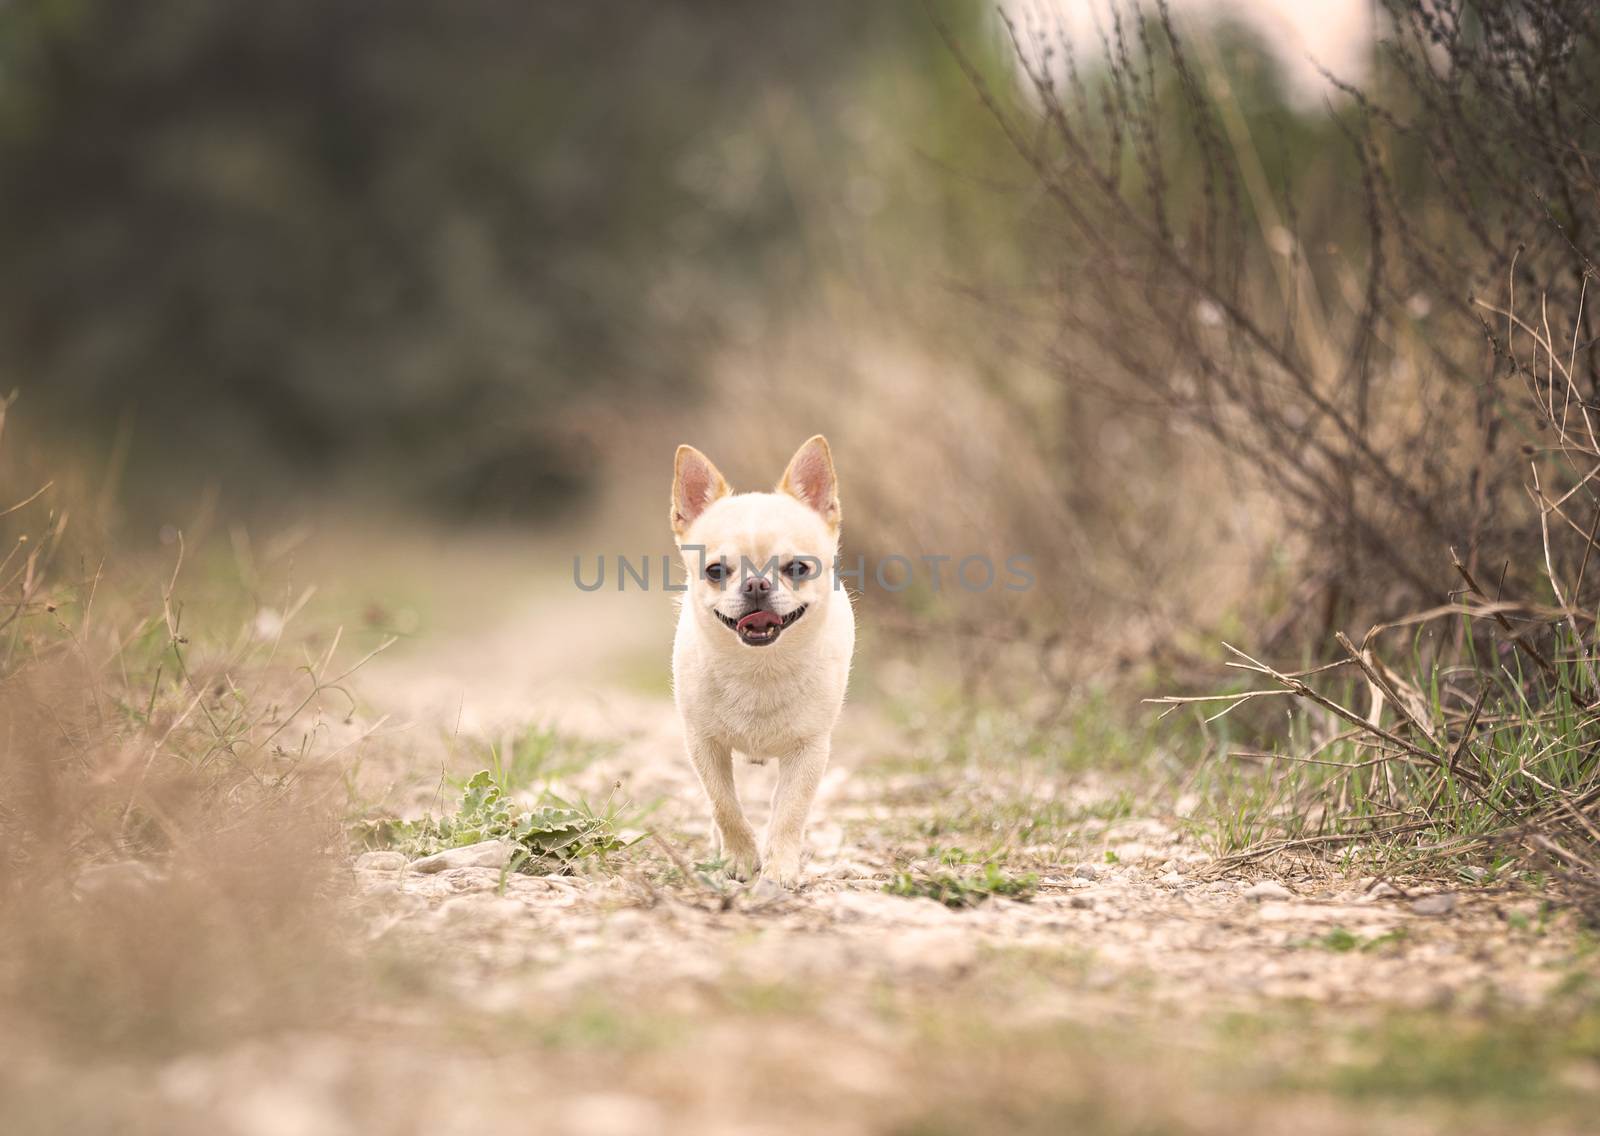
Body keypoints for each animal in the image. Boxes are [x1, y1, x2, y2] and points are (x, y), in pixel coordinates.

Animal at [668, 432, 857, 883]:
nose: (756, 584)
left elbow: (789, 812)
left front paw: (781, 867)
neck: (759, 668)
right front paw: (738, 858)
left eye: (798, 568)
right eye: (716, 571)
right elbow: (725, 806)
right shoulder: (704, 745)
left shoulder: (809, 752)